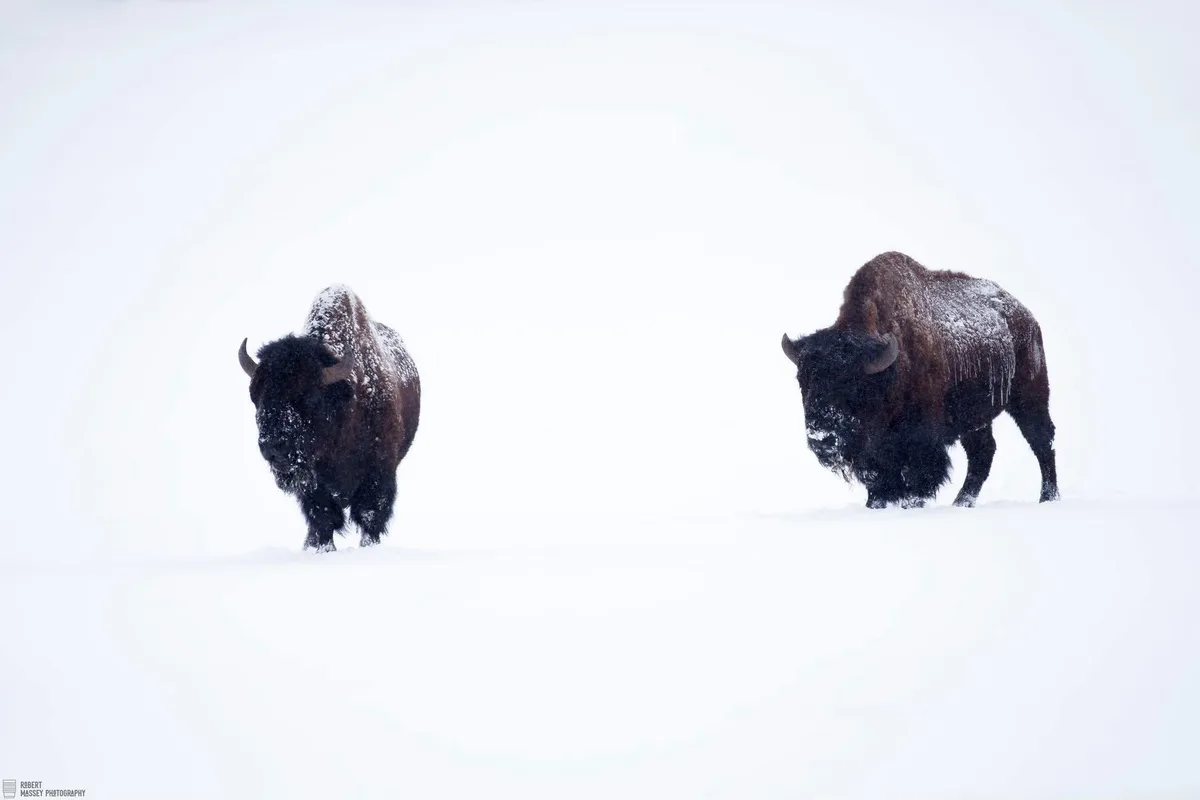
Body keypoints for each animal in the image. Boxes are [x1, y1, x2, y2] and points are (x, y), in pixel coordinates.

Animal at [238, 285, 421, 551]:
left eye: (311, 396)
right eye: (255, 396)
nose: (273, 447)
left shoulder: (379, 472)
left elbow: (370, 514)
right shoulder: (314, 484)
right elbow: (322, 518)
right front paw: (320, 548)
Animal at [780, 251, 1060, 509]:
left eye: (855, 386)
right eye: (803, 381)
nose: (821, 438)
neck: (888, 370)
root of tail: (1026, 317)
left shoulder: (920, 441)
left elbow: (917, 477)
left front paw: (911, 504)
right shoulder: (877, 451)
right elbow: (879, 480)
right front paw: (875, 504)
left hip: (1029, 396)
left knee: (1042, 439)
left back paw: (1048, 498)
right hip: (975, 418)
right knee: (983, 452)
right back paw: (961, 503)